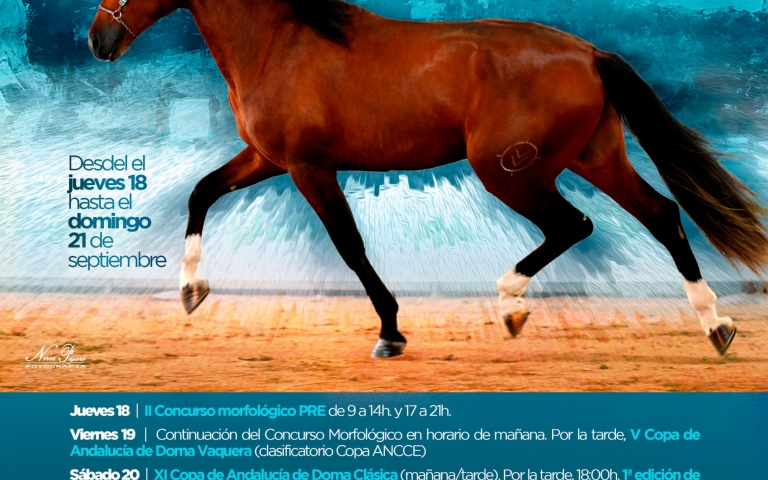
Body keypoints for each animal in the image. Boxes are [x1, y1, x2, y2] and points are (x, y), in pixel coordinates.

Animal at [88, 0, 768, 358]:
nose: (98, 39)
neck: (281, 43)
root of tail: (588, 54)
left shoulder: (309, 167)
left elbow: (351, 248)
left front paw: (390, 332)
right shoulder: (267, 158)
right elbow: (202, 191)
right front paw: (191, 290)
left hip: (510, 172)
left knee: (575, 224)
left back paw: (510, 304)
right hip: (593, 158)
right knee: (661, 215)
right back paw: (717, 326)